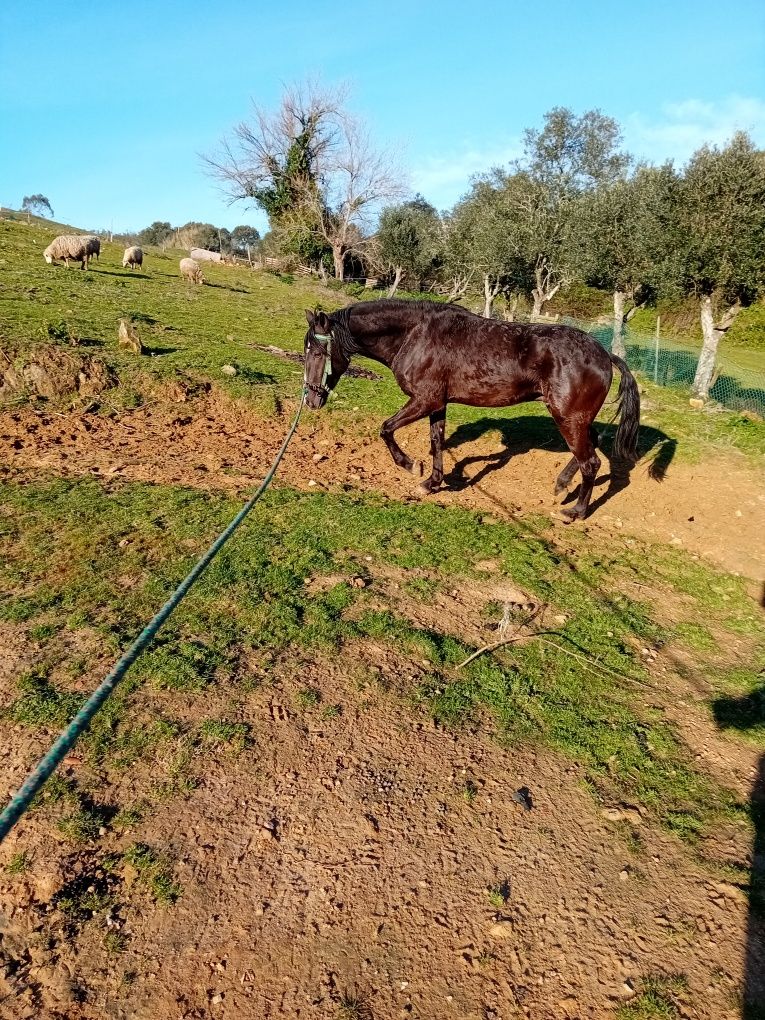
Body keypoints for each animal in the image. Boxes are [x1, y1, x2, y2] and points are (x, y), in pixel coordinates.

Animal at [301, 295, 636, 518]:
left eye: (316, 353)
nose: (311, 400)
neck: (414, 334)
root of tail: (605, 355)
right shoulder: (437, 403)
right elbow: (436, 441)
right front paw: (432, 482)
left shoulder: (425, 400)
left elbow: (386, 429)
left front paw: (410, 465)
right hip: (575, 419)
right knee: (591, 446)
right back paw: (562, 486)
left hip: (569, 418)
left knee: (590, 462)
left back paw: (576, 511)